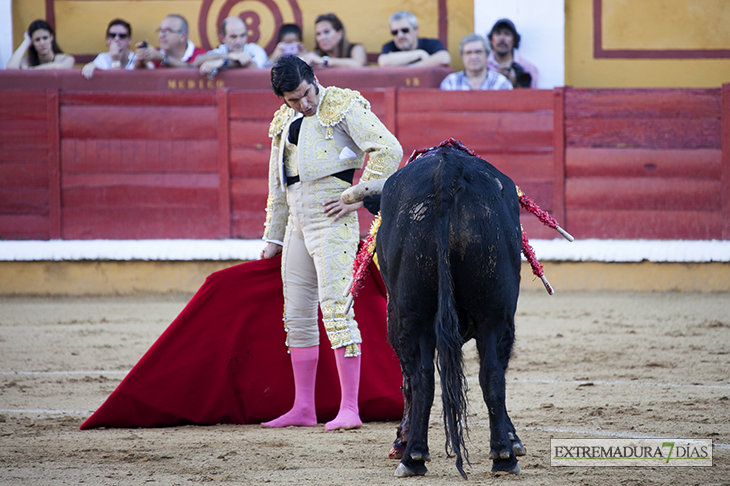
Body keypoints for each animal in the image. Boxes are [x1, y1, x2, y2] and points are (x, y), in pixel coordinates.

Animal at [376, 145, 524, 478]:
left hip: (411, 316)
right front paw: (512, 439)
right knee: (490, 374)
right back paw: (503, 455)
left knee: (421, 377)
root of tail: (448, 167)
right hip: (494, 312)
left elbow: (407, 381)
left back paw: (412, 454)